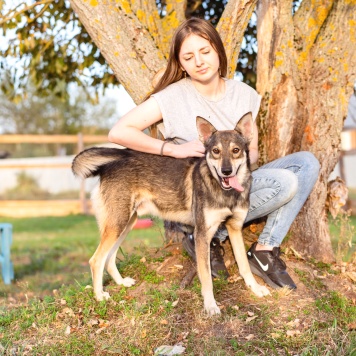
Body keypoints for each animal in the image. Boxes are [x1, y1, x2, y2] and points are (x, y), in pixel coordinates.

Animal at [72, 112, 270, 316]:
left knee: (109, 258)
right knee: (96, 260)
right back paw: (99, 296)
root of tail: (107, 167)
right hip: (117, 224)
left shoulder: (235, 228)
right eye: (215, 151)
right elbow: (206, 276)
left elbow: (244, 265)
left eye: (236, 150)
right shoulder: (202, 234)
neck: (225, 192)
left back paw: (121, 283)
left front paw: (255, 288)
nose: (226, 171)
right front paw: (210, 305)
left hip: (125, 224)